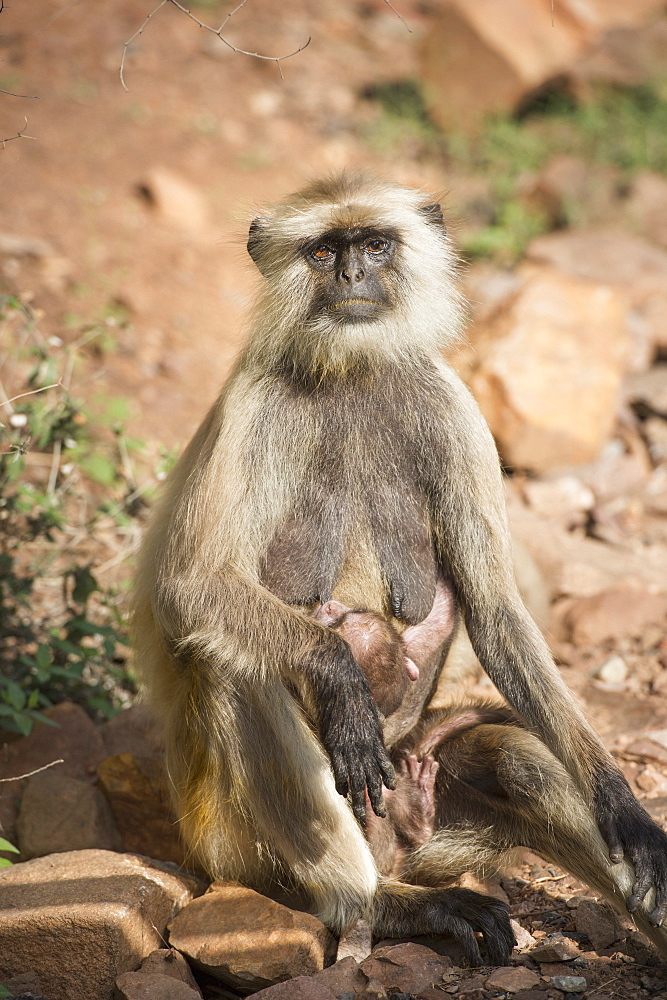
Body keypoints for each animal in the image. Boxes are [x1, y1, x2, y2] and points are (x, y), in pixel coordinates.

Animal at [133, 168, 667, 964]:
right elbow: (188, 587)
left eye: (376, 245)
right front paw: (340, 678)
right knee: (233, 668)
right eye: (325, 252)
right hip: (230, 848)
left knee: (518, 757)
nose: (353, 275)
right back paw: (375, 905)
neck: (352, 370)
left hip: (429, 812)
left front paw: (624, 806)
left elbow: (495, 610)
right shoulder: (255, 406)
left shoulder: (449, 402)